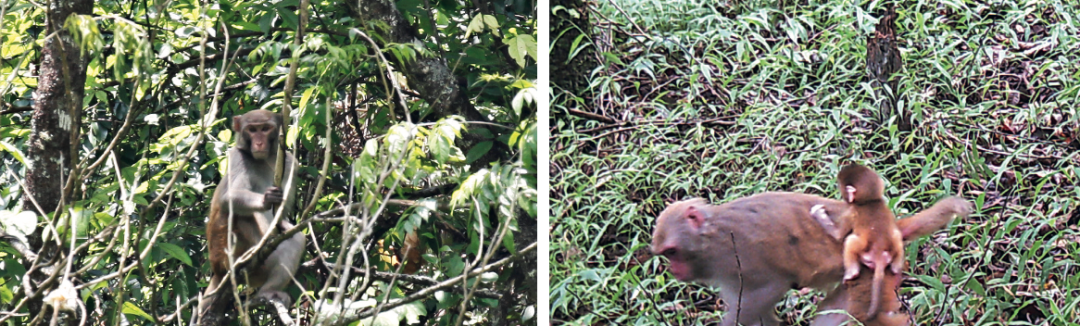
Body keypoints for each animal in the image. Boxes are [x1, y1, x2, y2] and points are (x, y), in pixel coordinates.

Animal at [198, 110, 306, 321]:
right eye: (252, 130)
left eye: (265, 128)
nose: (259, 143)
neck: (264, 159)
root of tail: (216, 271)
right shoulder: (237, 157)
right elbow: (228, 198)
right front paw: (266, 199)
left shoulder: (290, 163)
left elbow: (283, 217)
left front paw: (283, 223)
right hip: (223, 252)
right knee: (240, 215)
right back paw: (248, 259)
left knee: (296, 239)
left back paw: (266, 292)